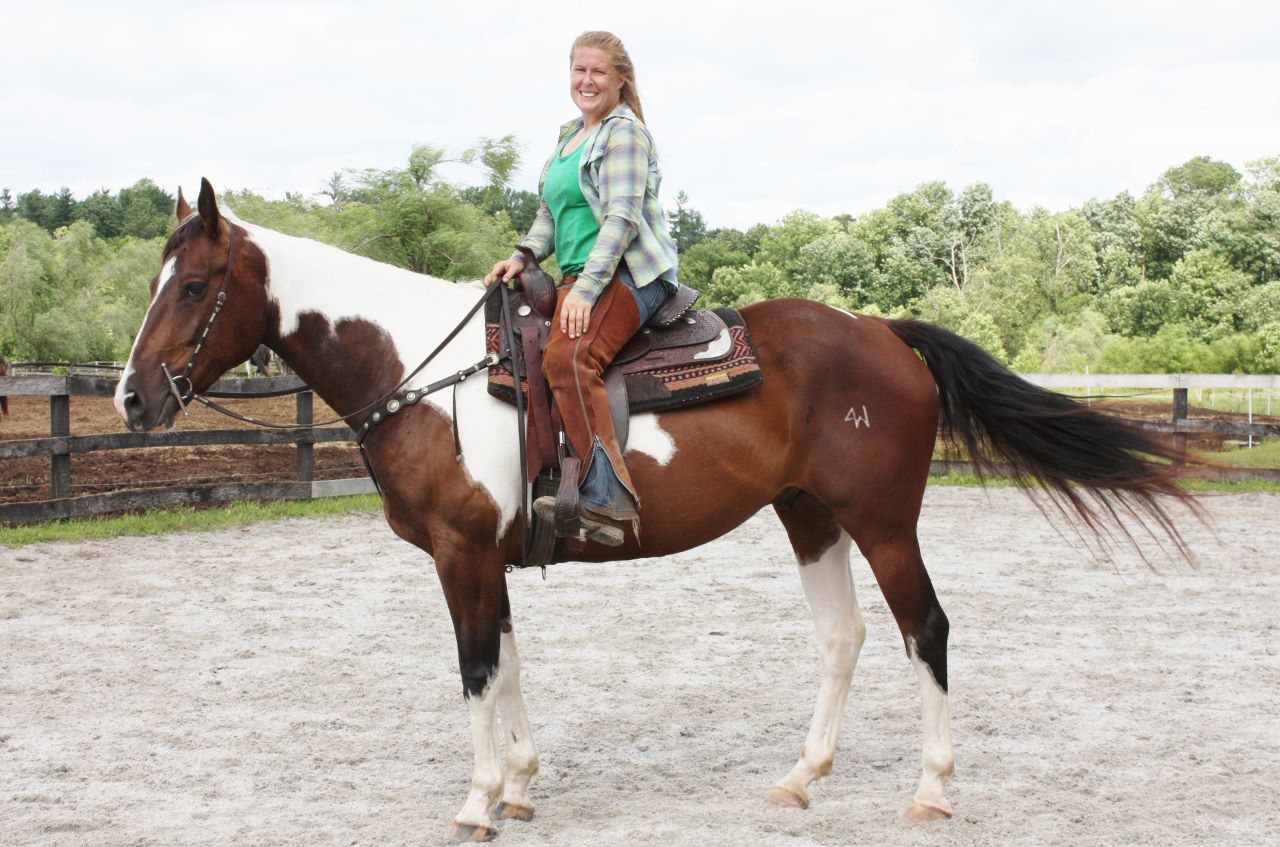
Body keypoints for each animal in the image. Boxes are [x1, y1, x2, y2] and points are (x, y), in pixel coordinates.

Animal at [114, 179, 1196, 842]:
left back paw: (930, 788)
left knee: (921, 628)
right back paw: (802, 775)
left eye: (197, 284)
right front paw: (519, 784)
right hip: (809, 513)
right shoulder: (490, 557)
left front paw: (476, 800)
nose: (131, 398)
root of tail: (883, 333)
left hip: (884, 521)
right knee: (842, 636)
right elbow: (509, 662)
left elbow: (474, 670)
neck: (427, 373)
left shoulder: (461, 553)